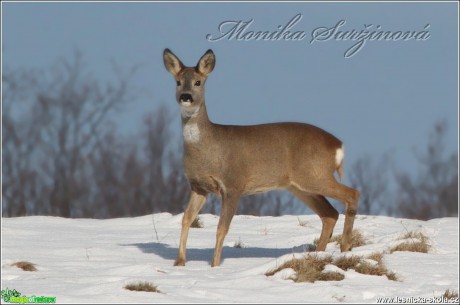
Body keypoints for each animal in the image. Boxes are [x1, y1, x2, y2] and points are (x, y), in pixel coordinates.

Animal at [162, 48, 360, 266]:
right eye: (178, 81)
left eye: (198, 82)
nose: (186, 96)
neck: (208, 149)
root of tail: (338, 145)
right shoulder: (198, 186)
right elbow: (186, 219)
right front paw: (179, 262)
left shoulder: (233, 184)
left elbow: (222, 228)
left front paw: (215, 266)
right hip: (299, 185)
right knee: (329, 213)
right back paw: (318, 254)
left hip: (315, 173)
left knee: (352, 194)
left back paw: (345, 246)